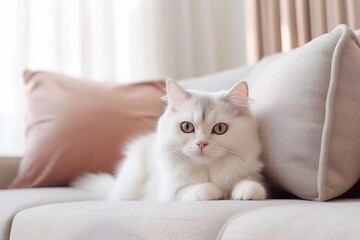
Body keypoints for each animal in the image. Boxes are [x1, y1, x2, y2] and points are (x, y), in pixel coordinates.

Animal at [73, 80, 266, 201]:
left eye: (220, 129)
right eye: (187, 127)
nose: (201, 144)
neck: (207, 169)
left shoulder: (248, 173)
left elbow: (249, 183)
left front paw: (247, 192)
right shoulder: (171, 192)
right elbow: (198, 188)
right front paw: (215, 191)